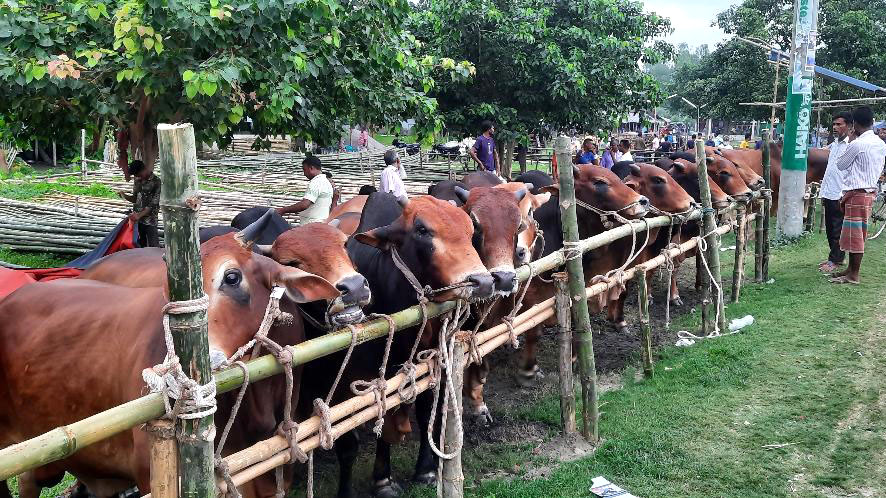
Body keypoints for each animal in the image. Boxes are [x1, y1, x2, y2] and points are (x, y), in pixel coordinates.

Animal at [300, 194, 496, 498]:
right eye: (422, 230)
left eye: (469, 228)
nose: (483, 282)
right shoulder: (344, 385)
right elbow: (358, 437)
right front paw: (382, 481)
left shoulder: (431, 365)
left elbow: (424, 413)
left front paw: (424, 470)